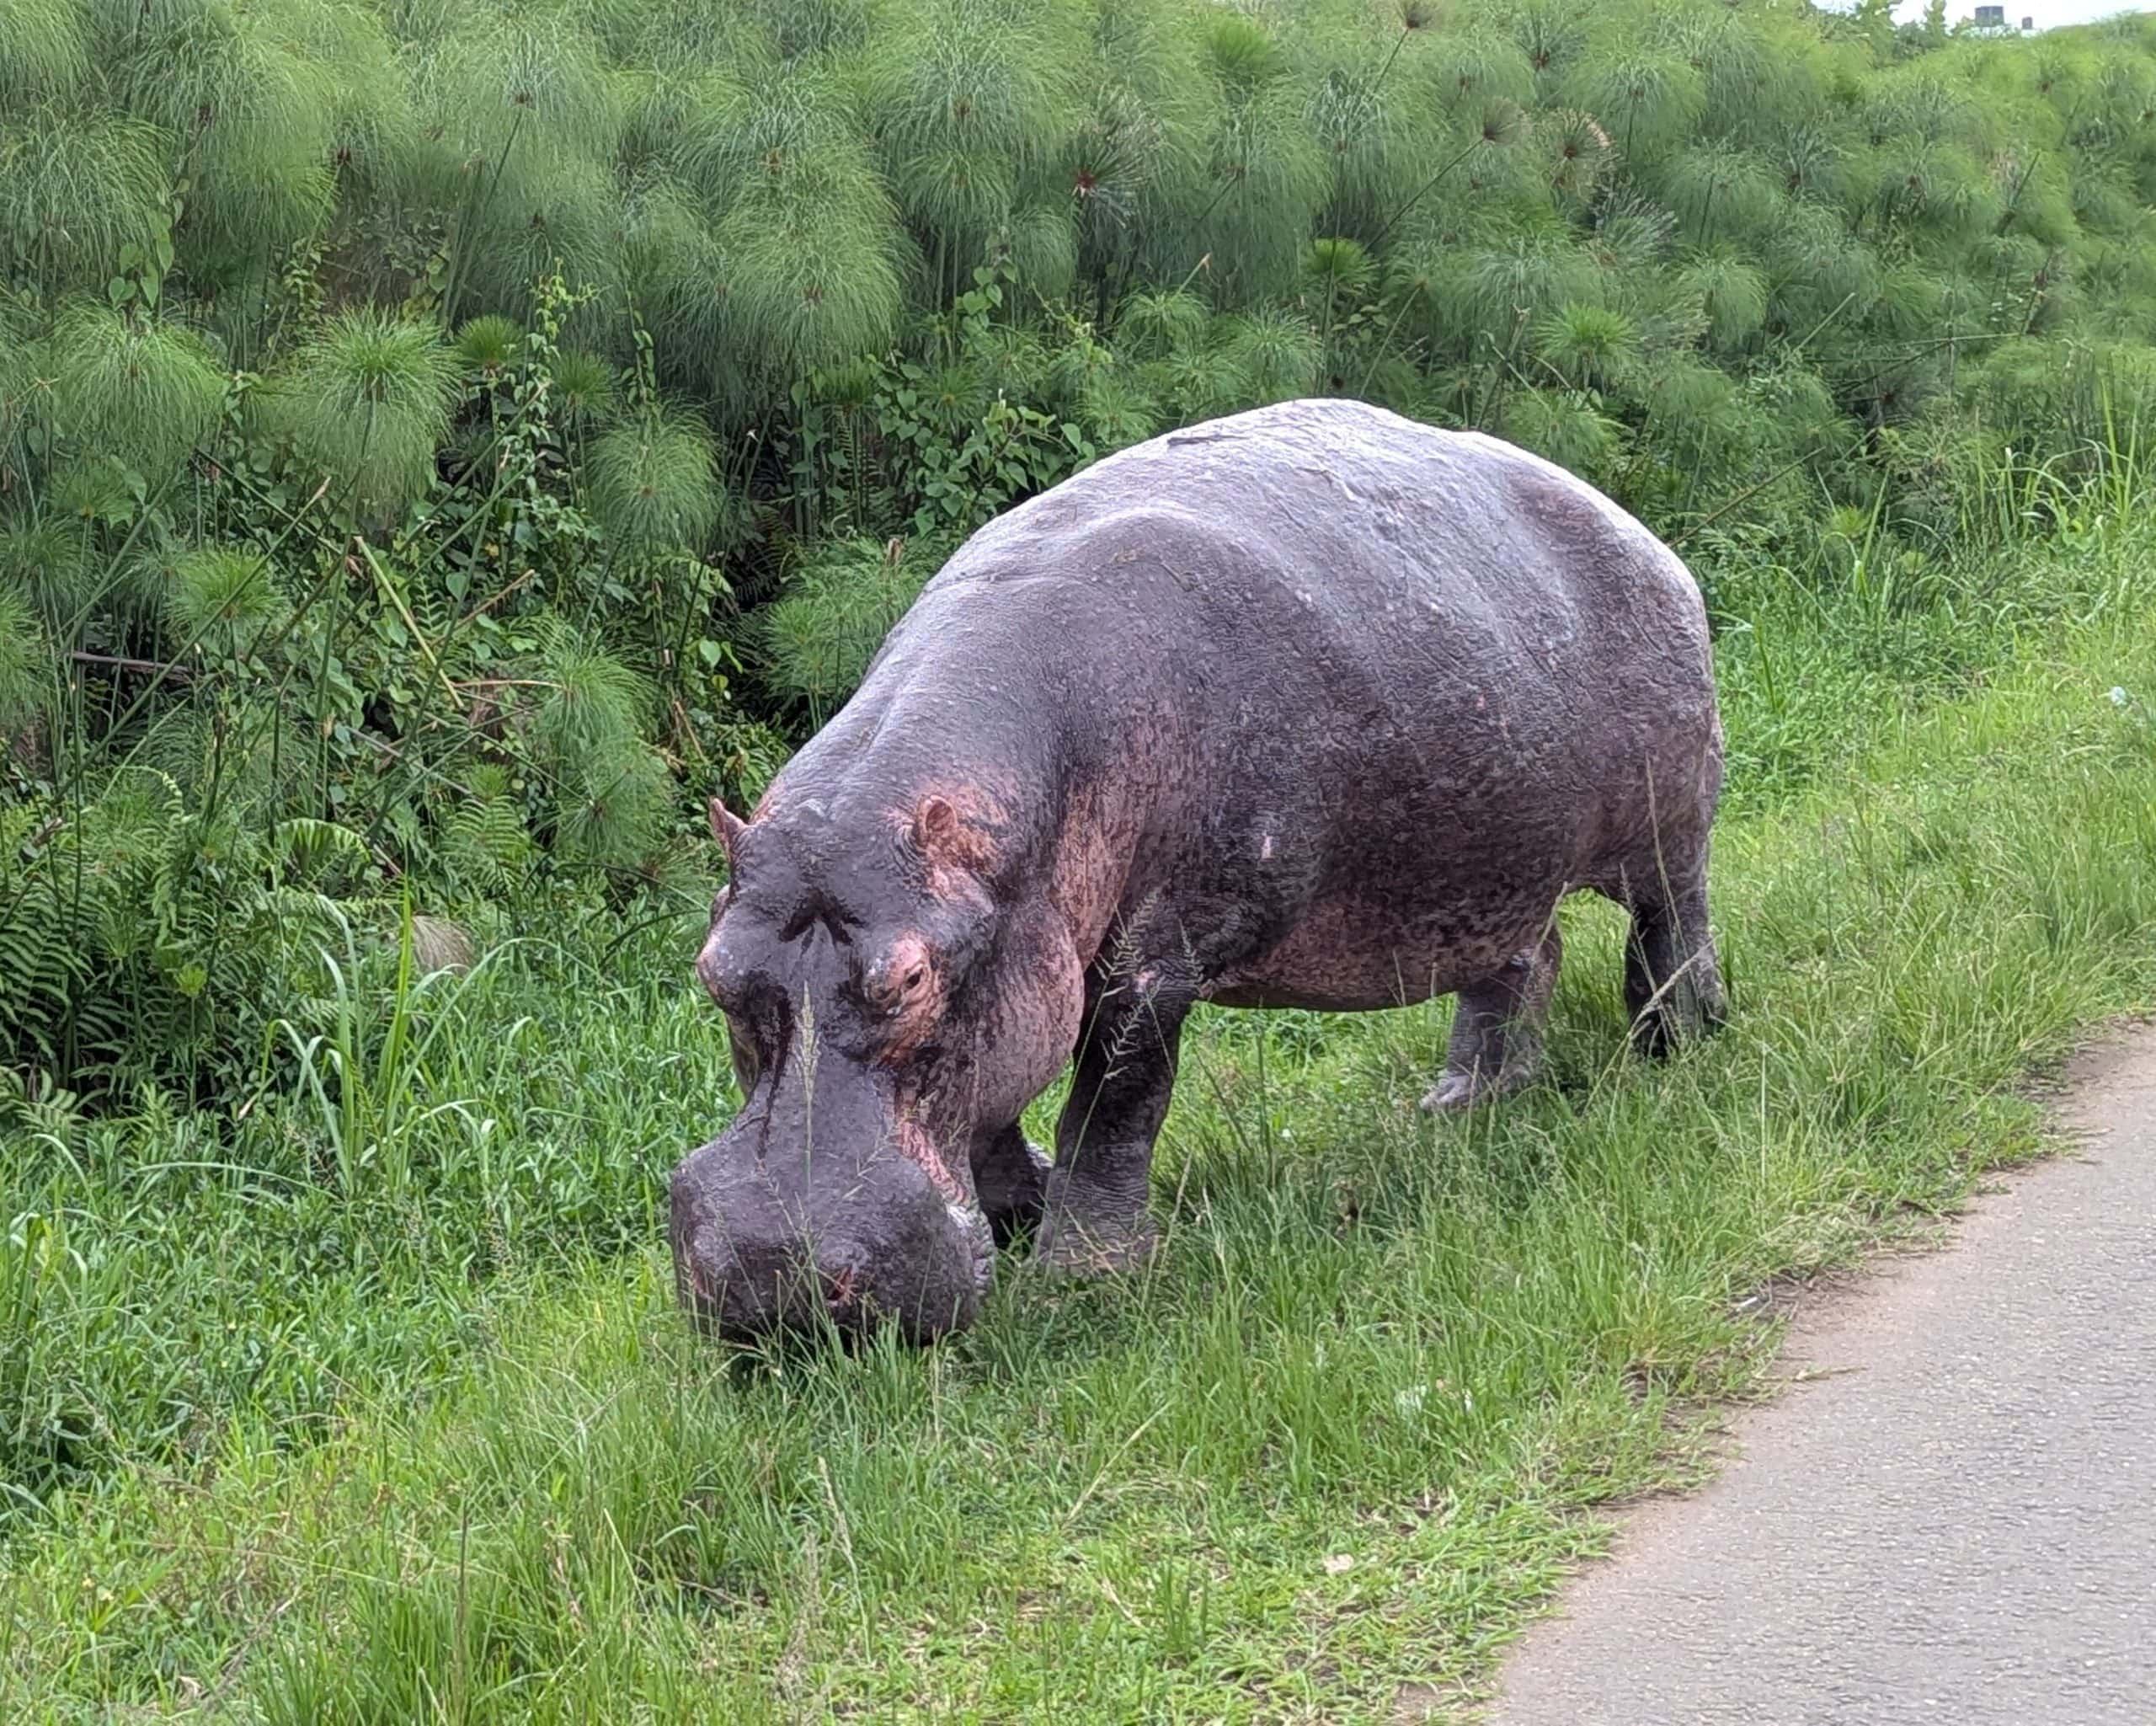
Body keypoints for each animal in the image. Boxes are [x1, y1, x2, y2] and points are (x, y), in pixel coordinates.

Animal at [672, 397, 1726, 1343]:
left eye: (910, 981)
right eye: (712, 975)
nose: (773, 1278)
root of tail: (1632, 525)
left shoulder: (1155, 955)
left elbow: (1114, 1100)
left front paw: (1081, 1274)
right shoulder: (1014, 958)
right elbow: (989, 1106)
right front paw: (1018, 1218)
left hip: (1666, 822)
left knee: (1673, 922)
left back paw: (1678, 1048)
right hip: (1494, 859)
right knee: (1522, 961)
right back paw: (1463, 1106)